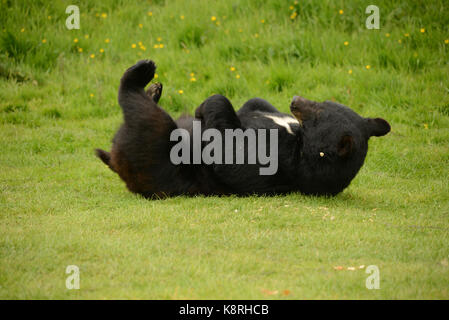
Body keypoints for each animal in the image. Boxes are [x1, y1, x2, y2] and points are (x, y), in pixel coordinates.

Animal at [95, 58, 388, 196]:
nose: (295, 100)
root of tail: (117, 163)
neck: (301, 141)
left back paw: (141, 75)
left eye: (317, 113)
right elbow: (255, 103)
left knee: (142, 113)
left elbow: (230, 154)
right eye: (324, 102)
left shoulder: (282, 160)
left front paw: (205, 107)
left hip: (155, 146)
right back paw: (153, 90)